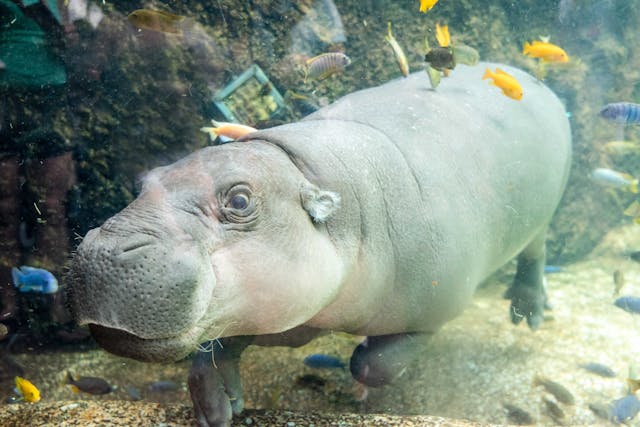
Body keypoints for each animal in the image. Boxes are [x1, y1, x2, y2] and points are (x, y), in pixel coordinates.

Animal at [68, 62, 571, 427]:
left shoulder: (435, 308)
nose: (104, 252)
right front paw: (217, 407)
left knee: (536, 253)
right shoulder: (277, 307)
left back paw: (527, 311)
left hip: (542, 218)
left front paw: (361, 363)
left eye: (240, 199)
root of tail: (530, 78)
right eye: (144, 180)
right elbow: (218, 349)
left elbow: (379, 362)